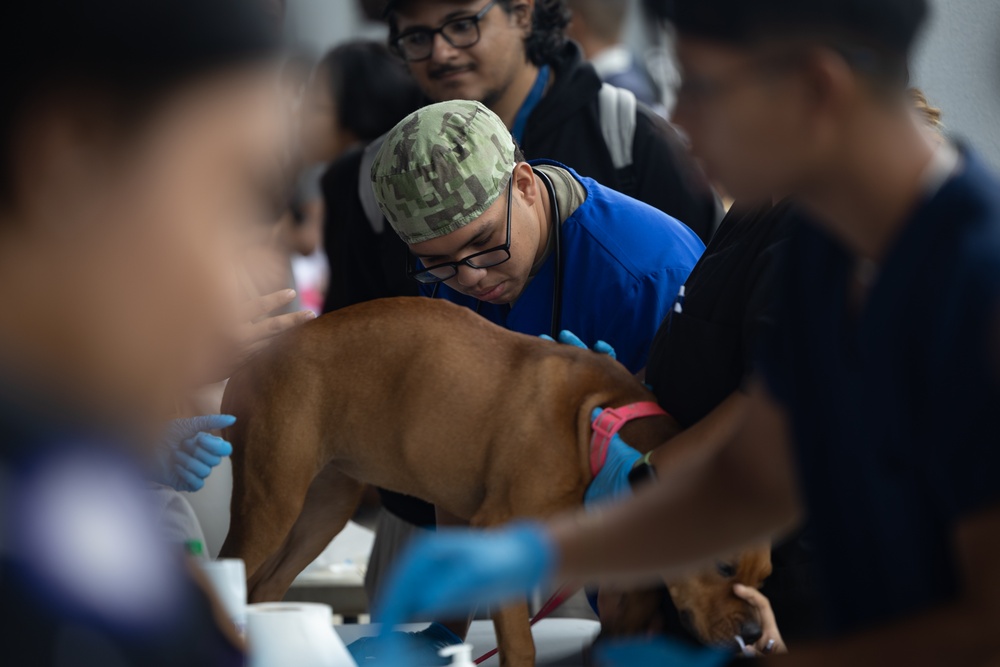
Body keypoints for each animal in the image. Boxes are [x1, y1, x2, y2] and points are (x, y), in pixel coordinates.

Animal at [221, 300, 772, 664]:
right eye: (722, 565)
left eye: (764, 578)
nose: (755, 635)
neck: (603, 420)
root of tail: (252, 356)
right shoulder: (502, 531)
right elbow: (521, 645)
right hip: (271, 502)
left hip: (323, 509)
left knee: (266, 587)